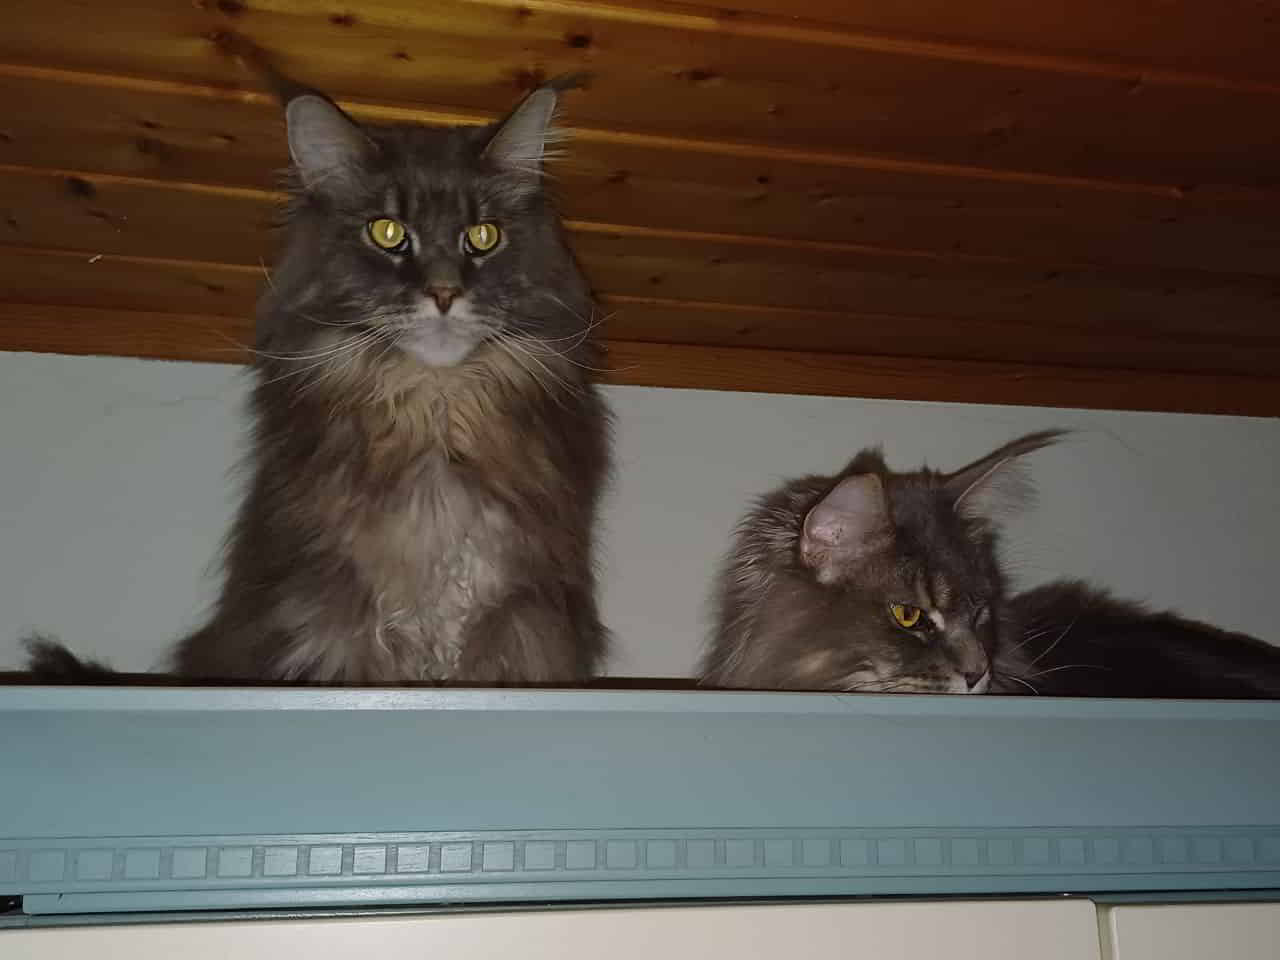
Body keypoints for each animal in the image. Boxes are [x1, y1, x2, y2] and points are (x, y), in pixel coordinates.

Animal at [25, 77, 612, 684]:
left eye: (483, 235)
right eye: (388, 232)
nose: (445, 292)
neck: (433, 409)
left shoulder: (524, 618)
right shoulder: (322, 614)